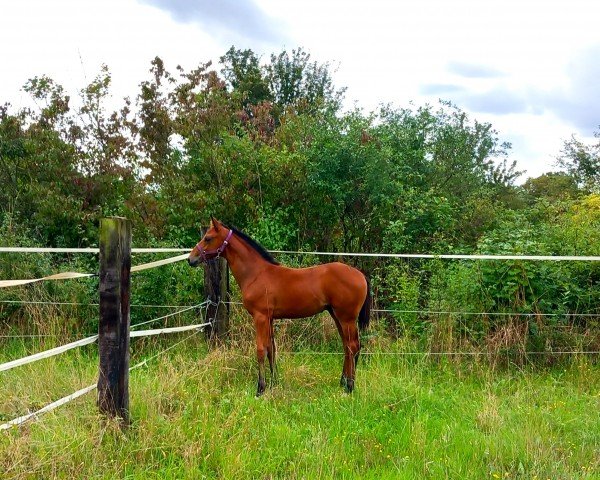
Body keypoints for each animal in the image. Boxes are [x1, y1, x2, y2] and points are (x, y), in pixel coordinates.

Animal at [188, 219, 370, 396]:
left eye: (208, 238)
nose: (191, 259)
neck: (256, 274)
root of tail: (360, 274)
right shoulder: (269, 318)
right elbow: (271, 349)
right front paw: (274, 382)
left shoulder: (260, 317)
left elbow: (261, 350)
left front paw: (260, 388)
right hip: (336, 315)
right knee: (347, 346)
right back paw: (343, 382)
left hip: (346, 318)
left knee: (353, 346)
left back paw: (349, 387)